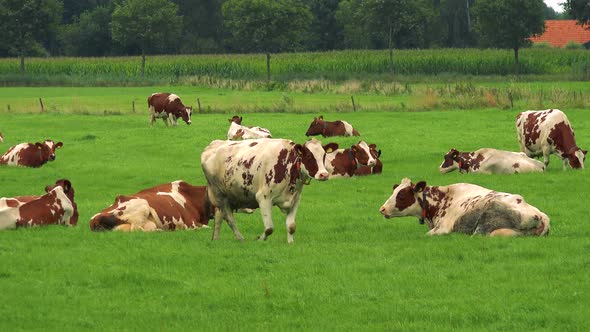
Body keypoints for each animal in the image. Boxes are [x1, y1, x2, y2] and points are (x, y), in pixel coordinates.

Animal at [202, 137, 332, 244]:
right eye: (309, 156)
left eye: (324, 156)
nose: (324, 174)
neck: (287, 165)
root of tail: (213, 145)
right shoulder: (263, 198)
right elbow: (269, 228)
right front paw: (260, 239)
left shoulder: (295, 199)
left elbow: (291, 226)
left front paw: (290, 242)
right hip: (219, 195)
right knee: (230, 219)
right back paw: (240, 239)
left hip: (229, 197)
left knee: (219, 217)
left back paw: (215, 239)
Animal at [382, 178, 552, 237]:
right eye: (394, 192)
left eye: (401, 196)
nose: (382, 209)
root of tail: (540, 215)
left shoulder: (442, 229)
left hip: (482, 227)